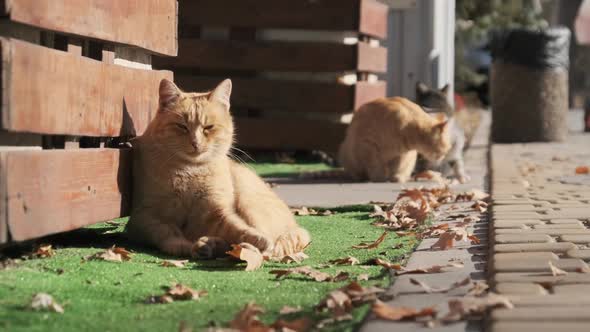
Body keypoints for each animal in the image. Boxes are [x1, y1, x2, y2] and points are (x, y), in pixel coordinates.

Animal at [125, 79, 310, 258]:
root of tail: (294, 224)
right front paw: (186, 246)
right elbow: (168, 234)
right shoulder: (144, 218)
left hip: (249, 202)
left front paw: (256, 240)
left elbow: (238, 228)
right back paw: (208, 245)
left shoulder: (217, 213)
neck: (191, 170)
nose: (196, 143)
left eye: (209, 127)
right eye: (182, 126)